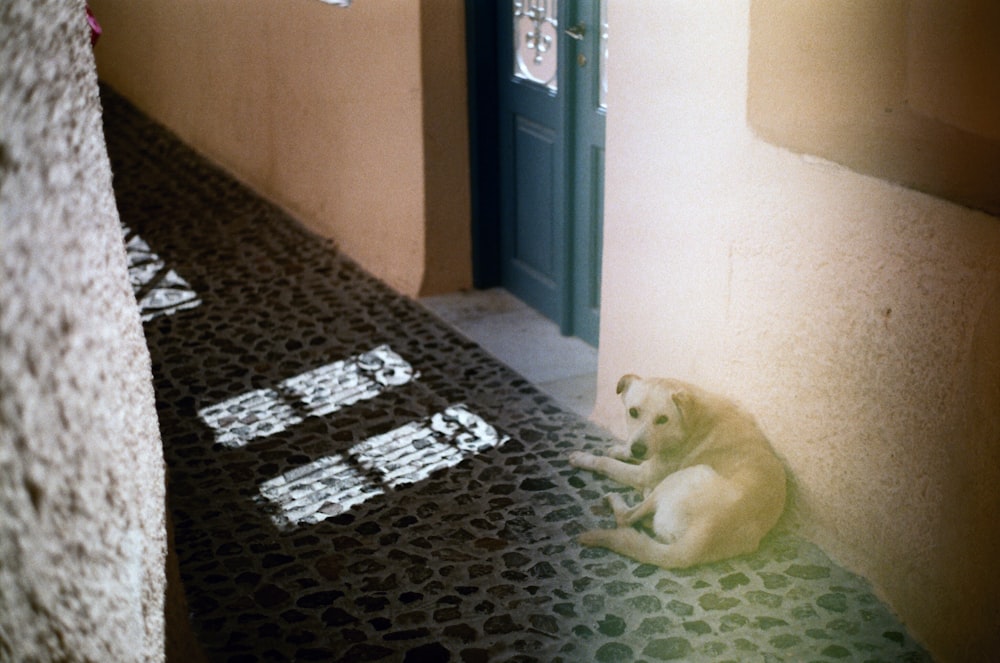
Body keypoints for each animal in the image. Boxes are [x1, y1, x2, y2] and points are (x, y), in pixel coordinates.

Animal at [572, 376, 788, 568]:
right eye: (632, 412)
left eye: (662, 419)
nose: (638, 450)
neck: (690, 420)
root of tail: (700, 539)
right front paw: (620, 449)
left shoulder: (644, 474)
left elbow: (605, 463)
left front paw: (583, 458)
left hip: (684, 476)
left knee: (626, 518)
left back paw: (617, 500)